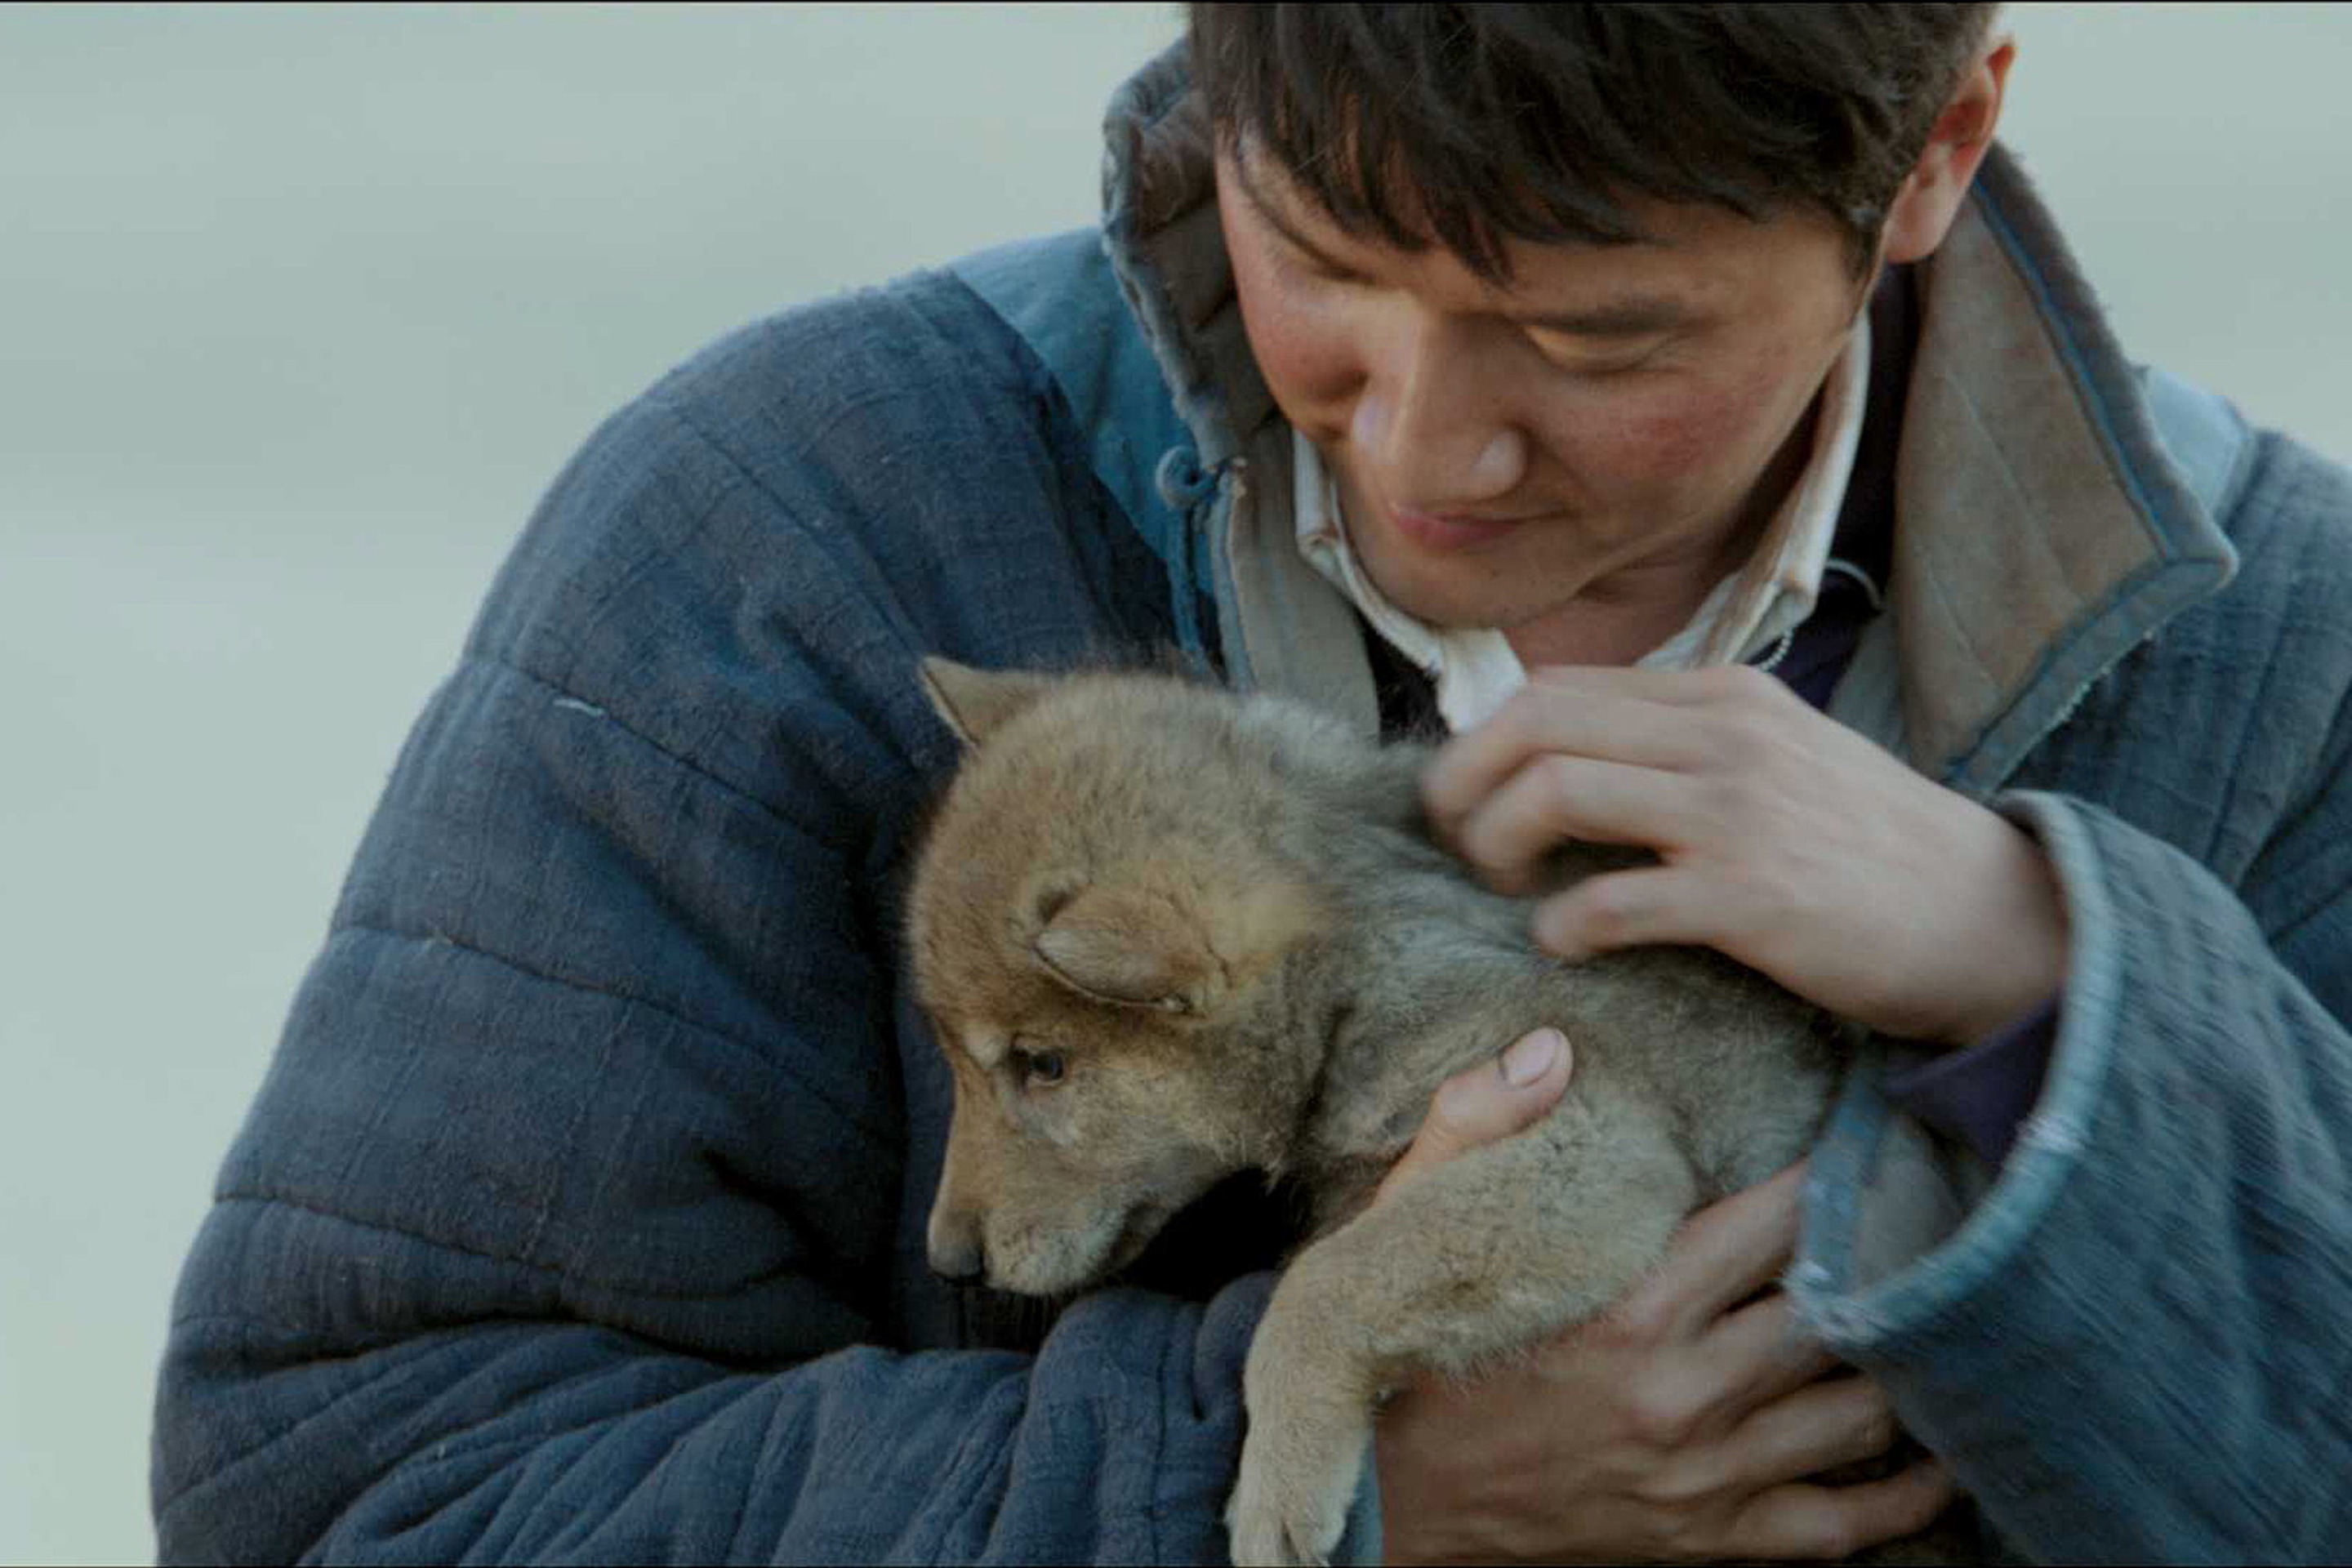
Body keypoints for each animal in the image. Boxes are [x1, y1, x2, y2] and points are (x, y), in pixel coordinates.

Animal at [906, 657, 1859, 1566]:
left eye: (1044, 1066)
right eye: (957, 1060)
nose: (948, 1264)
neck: (1358, 976)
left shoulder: (1588, 1147)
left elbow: (1323, 1286)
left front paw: (1277, 1484)